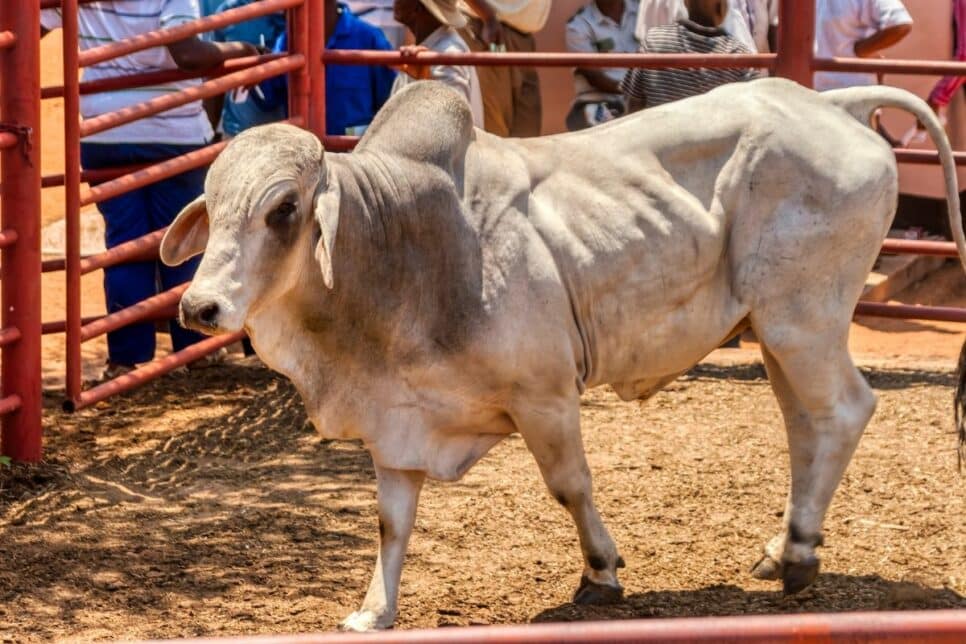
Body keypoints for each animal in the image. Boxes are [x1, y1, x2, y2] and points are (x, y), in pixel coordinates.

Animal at [159, 78, 966, 632]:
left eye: (284, 209)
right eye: (211, 202)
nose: (200, 308)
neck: (402, 246)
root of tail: (830, 101)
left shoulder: (544, 395)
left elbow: (569, 485)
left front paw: (602, 573)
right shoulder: (398, 418)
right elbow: (392, 521)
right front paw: (373, 612)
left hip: (804, 319)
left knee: (844, 412)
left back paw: (798, 554)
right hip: (776, 331)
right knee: (805, 428)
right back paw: (784, 547)